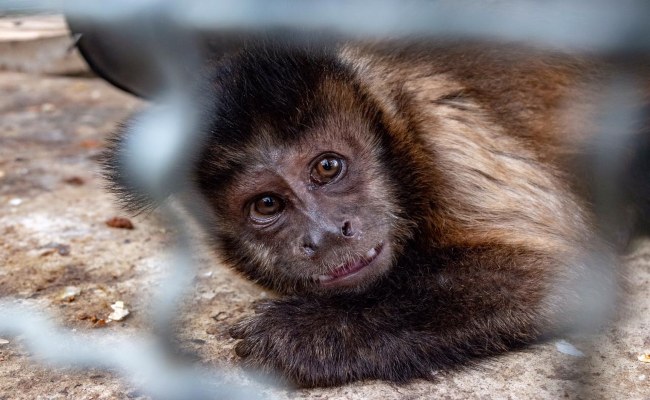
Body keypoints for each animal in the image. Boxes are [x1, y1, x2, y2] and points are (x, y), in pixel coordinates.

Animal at [101, 41, 644, 388]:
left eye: (327, 167)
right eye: (267, 205)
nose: (325, 234)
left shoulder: (444, 137)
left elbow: (573, 278)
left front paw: (307, 334)